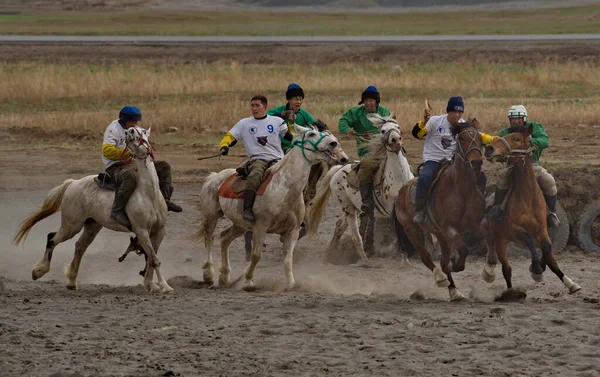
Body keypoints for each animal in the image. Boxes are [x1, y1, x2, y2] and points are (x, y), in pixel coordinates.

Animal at [12, 126, 173, 294]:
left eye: (142, 131)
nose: (130, 131)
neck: (148, 194)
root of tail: (72, 183)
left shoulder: (159, 231)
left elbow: (151, 258)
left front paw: (150, 284)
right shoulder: (141, 231)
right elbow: (154, 259)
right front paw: (165, 286)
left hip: (92, 225)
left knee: (79, 246)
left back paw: (72, 281)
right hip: (71, 226)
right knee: (52, 238)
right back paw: (39, 271)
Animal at [195, 125, 350, 290]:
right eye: (311, 134)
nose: (334, 143)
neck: (283, 189)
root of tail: (214, 177)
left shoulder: (292, 232)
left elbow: (288, 260)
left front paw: (291, 284)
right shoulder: (260, 227)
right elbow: (256, 256)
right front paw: (248, 281)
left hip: (240, 225)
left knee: (224, 238)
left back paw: (224, 276)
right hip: (211, 216)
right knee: (209, 239)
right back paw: (208, 275)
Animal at [308, 114, 414, 264]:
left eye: (397, 127)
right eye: (382, 130)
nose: (396, 140)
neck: (399, 177)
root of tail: (338, 169)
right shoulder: (393, 212)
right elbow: (399, 234)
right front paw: (404, 258)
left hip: (355, 208)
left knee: (339, 226)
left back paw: (328, 255)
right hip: (348, 208)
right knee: (354, 235)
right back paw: (363, 260)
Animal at [394, 119, 488, 302]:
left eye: (480, 138)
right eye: (462, 139)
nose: (476, 162)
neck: (462, 190)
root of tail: (399, 193)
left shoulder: (475, 226)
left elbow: (477, 241)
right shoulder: (449, 228)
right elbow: (463, 249)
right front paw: (457, 264)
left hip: (439, 235)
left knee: (444, 263)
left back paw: (455, 291)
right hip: (412, 230)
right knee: (427, 258)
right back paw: (441, 279)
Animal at [480, 125, 580, 296]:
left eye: (516, 138)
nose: (489, 148)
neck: (528, 198)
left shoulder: (542, 230)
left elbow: (546, 248)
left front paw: (538, 270)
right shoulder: (514, 229)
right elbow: (528, 239)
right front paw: (537, 268)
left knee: (551, 260)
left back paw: (571, 284)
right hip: (500, 239)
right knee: (504, 266)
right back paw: (497, 278)